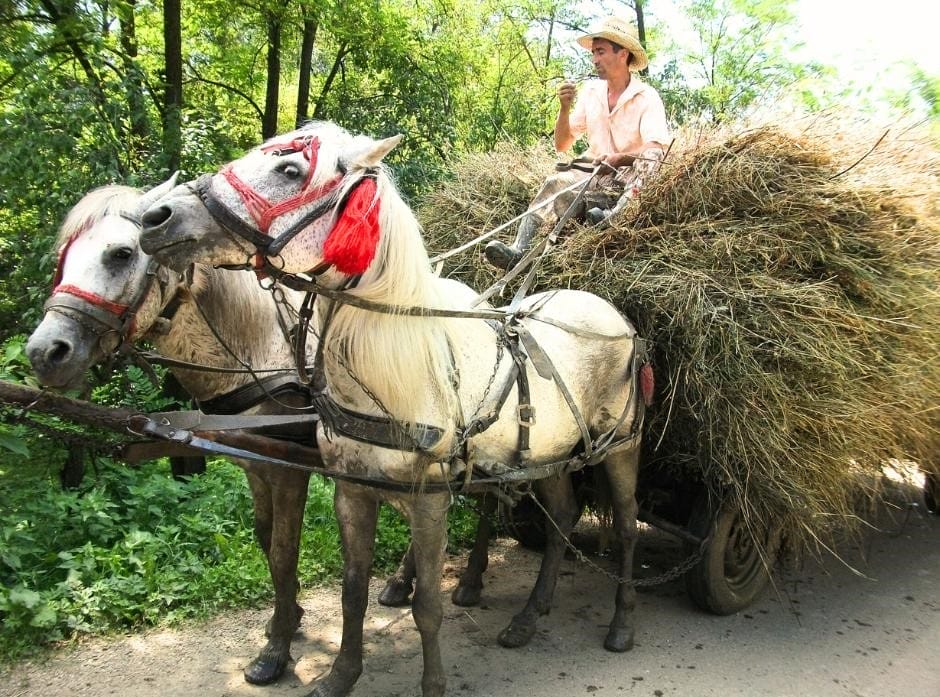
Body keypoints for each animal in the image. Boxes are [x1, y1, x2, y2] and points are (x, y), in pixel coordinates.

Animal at [25, 181, 316, 685]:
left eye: (122, 253)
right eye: (64, 258)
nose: (45, 352)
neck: (266, 348)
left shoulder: (288, 471)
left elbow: (283, 551)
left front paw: (275, 651)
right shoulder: (256, 468)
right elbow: (265, 538)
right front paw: (287, 616)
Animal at [139, 121, 643, 697]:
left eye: (290, 169)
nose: (155, 217)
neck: (395, 369)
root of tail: (613, 316)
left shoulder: (429, 501)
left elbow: (427, 607)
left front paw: (432, 683)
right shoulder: (353, 492)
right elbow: (352, 591)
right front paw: (339, 675)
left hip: (621, 446)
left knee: (627, 526)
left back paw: (622, 622)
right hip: (548, 456)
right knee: (562, 516)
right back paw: (527, 618)